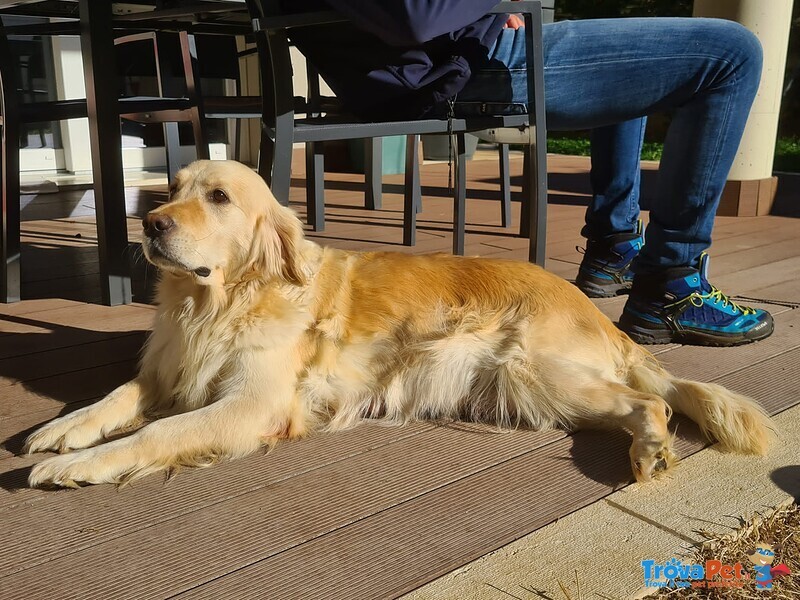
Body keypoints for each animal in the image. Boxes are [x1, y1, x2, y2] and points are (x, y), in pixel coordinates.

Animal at [26, 159, 776, 488]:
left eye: (216, 197)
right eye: (171, 188)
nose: (150, 223)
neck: (218, 303)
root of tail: (598, 312)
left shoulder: (253, 403)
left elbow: (159, 432)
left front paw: (82, 464)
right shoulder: (169, 369)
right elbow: (116, 397)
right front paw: (63, 431)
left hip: (535, 369)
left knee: (653, 401)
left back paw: (652, 451)